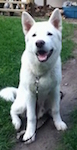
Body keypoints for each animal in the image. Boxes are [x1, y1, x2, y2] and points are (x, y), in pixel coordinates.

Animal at [0, 8, 67, 144]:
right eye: (34, 35)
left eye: (49, 34)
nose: (39, 43)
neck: (40, 72)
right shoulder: (30, 95)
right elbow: (31, 117)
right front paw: (29, 134)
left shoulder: (55, 91)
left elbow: (56, 109)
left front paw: (58, 123)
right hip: (23, 103)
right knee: (13, 109)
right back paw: (16, 122)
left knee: (50, 109)